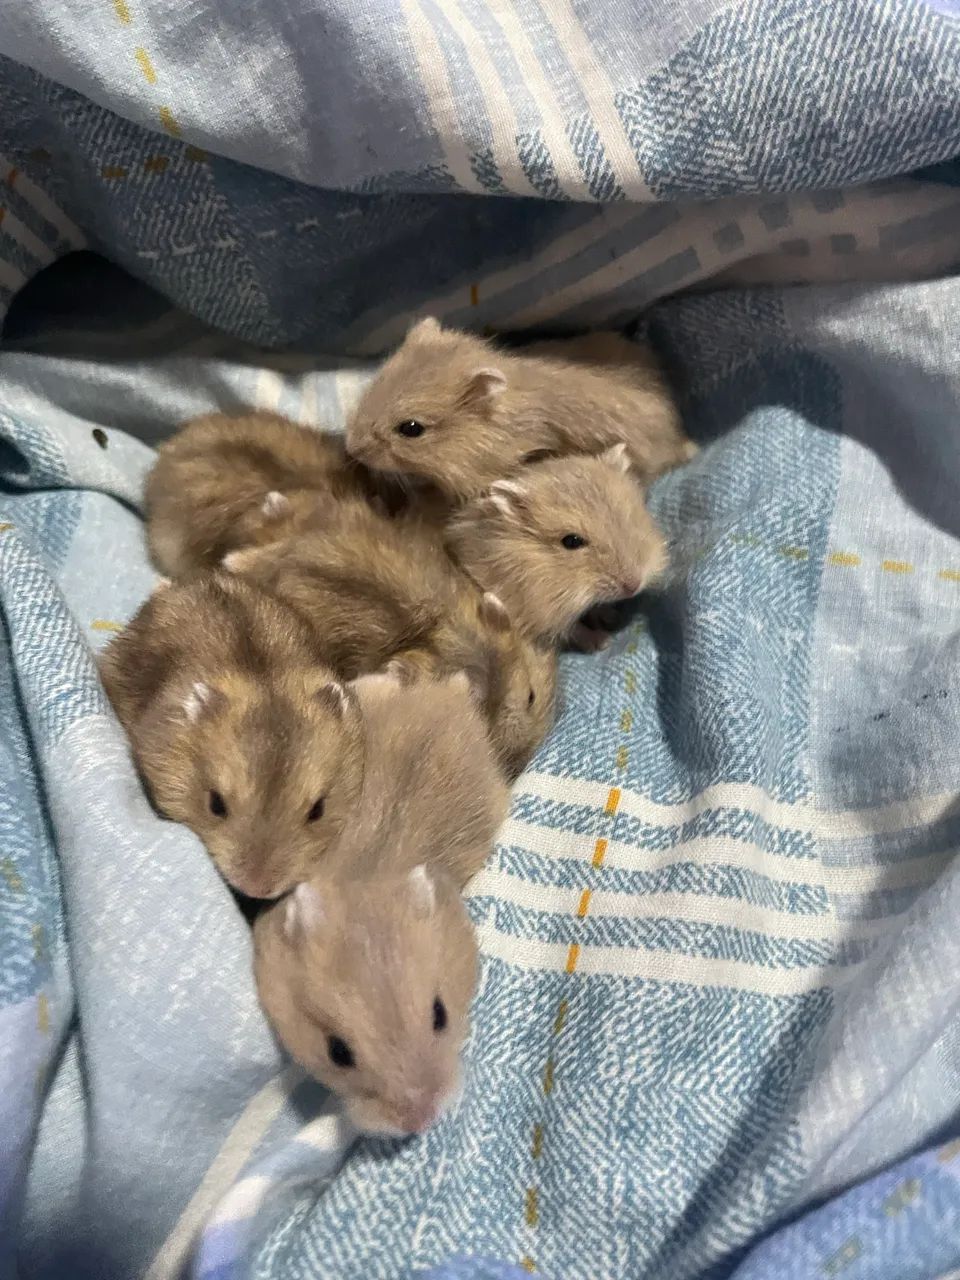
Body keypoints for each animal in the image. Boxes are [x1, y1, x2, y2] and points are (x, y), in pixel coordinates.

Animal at [446, 445, 668, 647]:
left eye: (628, 517)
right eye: (571, 541)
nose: (634, 587)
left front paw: (611, 616)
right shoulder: (544, 613)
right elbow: (575, 630)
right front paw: (603, 642)